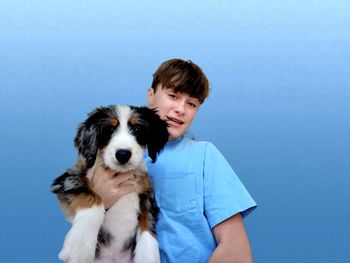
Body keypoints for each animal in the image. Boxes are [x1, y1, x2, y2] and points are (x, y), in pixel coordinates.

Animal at [50, 105, 168, 263]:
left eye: (137, 129)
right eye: (109, 130)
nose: (123, 154)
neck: (120, 174)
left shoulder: (147, 193)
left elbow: (147, 226)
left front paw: (149, 257)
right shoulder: (68, 179)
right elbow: (94, 199)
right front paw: (79, 246)